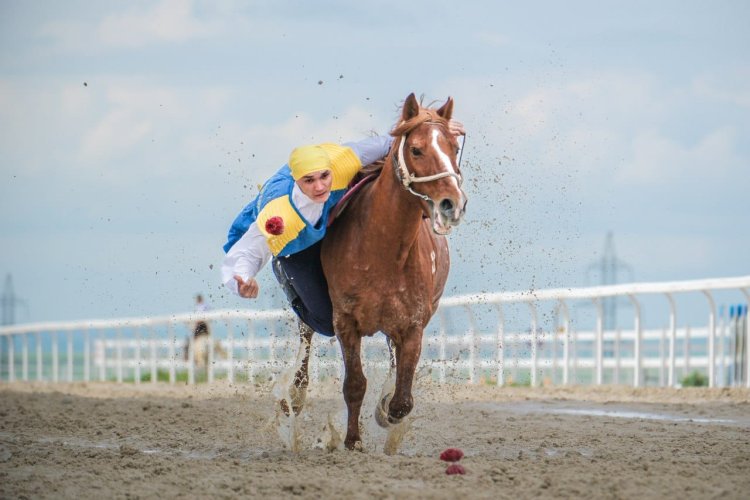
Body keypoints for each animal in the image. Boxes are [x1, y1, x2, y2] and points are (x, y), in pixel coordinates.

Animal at [320, 93, 468, 450]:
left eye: (454, 146)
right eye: (416, 149)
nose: (452, 203)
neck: (382, 249)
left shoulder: (412, 326)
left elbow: (402, 400)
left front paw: (385, 411)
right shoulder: (345, 320)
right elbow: (355, 384)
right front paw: (352, 441)